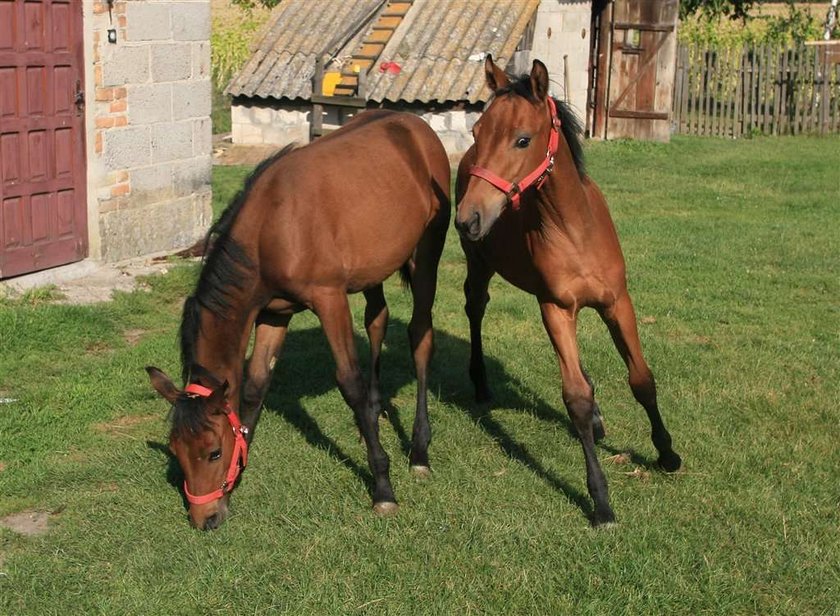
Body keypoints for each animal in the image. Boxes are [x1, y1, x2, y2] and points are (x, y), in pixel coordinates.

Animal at [149, 110, 452, 528]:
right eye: (177, 451)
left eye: (213, 452)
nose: (204, 518)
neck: (272, 227)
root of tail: (416, 125)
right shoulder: (273, 315)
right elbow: (256, 385)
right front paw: (238, 476)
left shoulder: (329, 300)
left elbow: (350, 383)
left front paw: (382, 487)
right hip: (373, 271)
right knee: (377, 321)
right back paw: (371, 422)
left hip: (427, 255)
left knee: (420, 336)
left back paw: (419, 451)